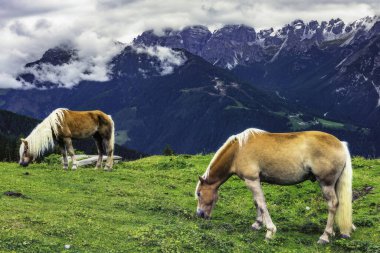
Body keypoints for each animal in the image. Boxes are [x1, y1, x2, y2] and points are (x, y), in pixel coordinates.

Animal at [194, 128, 354, 243]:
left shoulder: (251, 180)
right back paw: (335, 231)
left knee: (333, 204)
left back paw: (325, 236)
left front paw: (270, 231)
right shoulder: (255, 181)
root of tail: (340, 144)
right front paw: (257, 224)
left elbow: (261, 203)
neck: (238, 151)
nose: (200, 214)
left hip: (326, 184)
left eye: (199, 194)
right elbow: (257, 203)